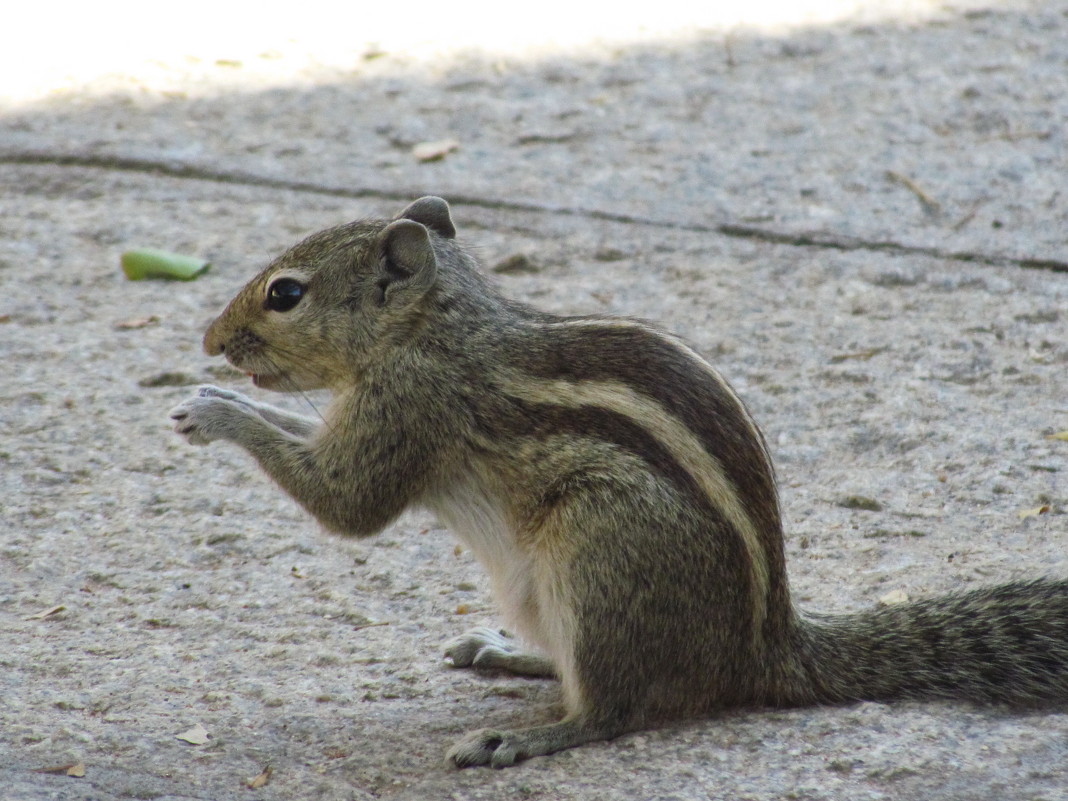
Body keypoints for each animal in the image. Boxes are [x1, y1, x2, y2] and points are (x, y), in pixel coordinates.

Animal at [173, 196, 1068, 773]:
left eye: (286, 293)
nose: (210, 338)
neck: (440, 323)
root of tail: (764, 647)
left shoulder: (406, 411)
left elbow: (345, 503)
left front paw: (216, 409)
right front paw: (213, 397)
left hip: (599, 544)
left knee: (618, 707)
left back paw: (523, 738)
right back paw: (509, 654)